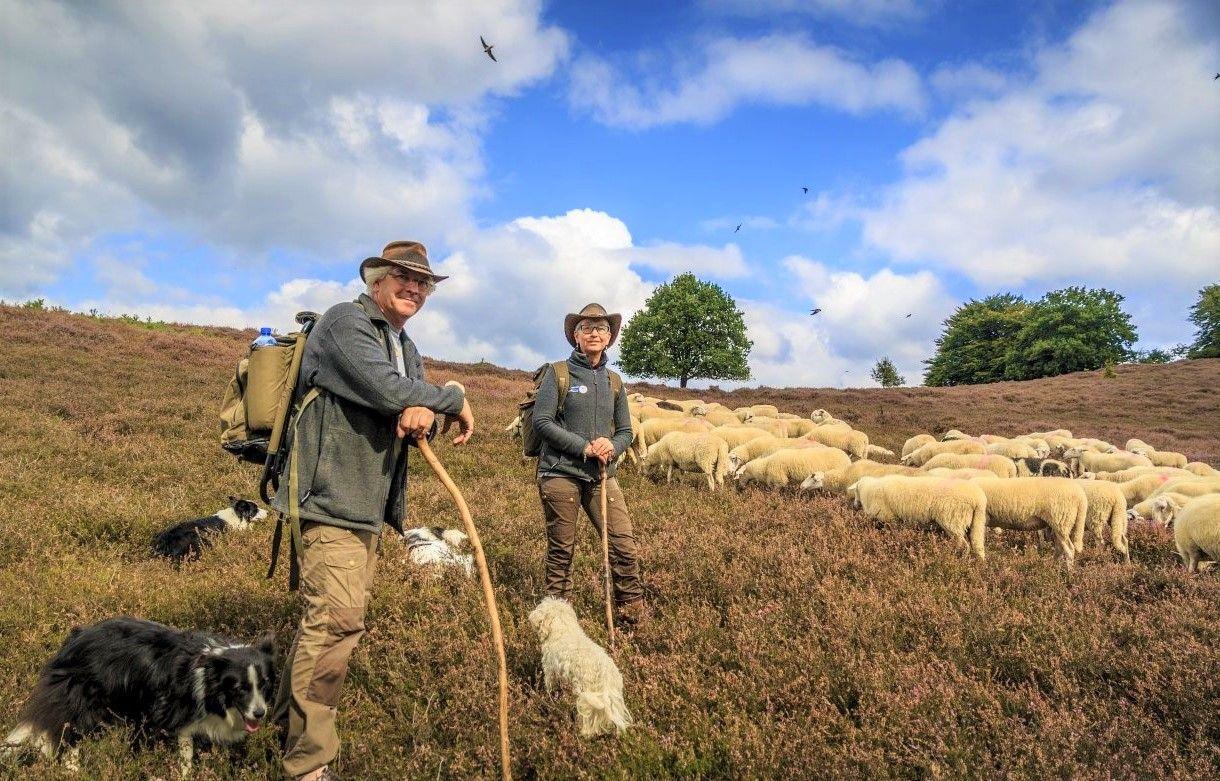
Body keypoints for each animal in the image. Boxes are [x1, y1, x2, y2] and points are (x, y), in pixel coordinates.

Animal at [854, 473, 985, 558]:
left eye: (855, 490)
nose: (854, 506)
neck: (868, 490)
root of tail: (977, 499)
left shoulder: (888, 517)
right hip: (976, 523)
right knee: (977, 545)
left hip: (953, 520)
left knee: (963, 545)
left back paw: (955, 557)